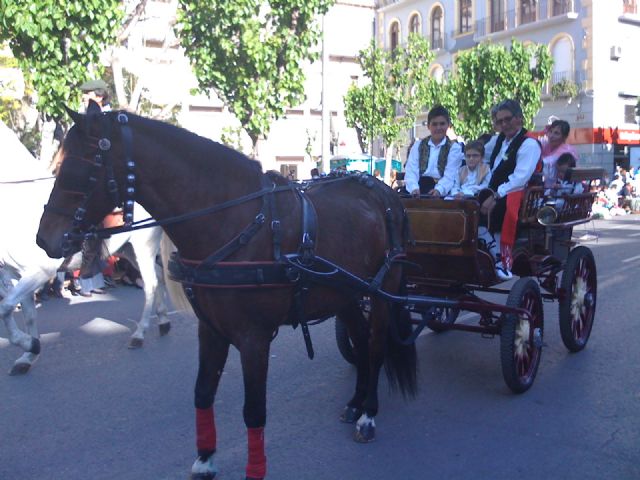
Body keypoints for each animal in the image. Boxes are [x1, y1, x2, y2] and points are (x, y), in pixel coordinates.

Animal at [0, 121, 170, 376]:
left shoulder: (39, 272)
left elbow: (5, 308)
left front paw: (29, 345)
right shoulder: (14, 274)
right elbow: (23, 313)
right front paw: (29, 353)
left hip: (144, 246)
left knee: (150, 284)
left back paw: (139, 334)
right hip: (128, 250)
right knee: (158, 277)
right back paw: (163, 321)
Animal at [36, 105, 416, 480]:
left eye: (80, 167)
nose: (44, 239)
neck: (235, 222)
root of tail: (383, 192)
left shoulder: (254, 338)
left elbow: (254, 410)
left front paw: (254, 470)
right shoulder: (211, 329)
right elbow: (203, 392)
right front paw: (205, 459)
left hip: (381, 293)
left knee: (375, 348)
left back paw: (368, 414)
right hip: (346, 296)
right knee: (361, 343)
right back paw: (355, 404)